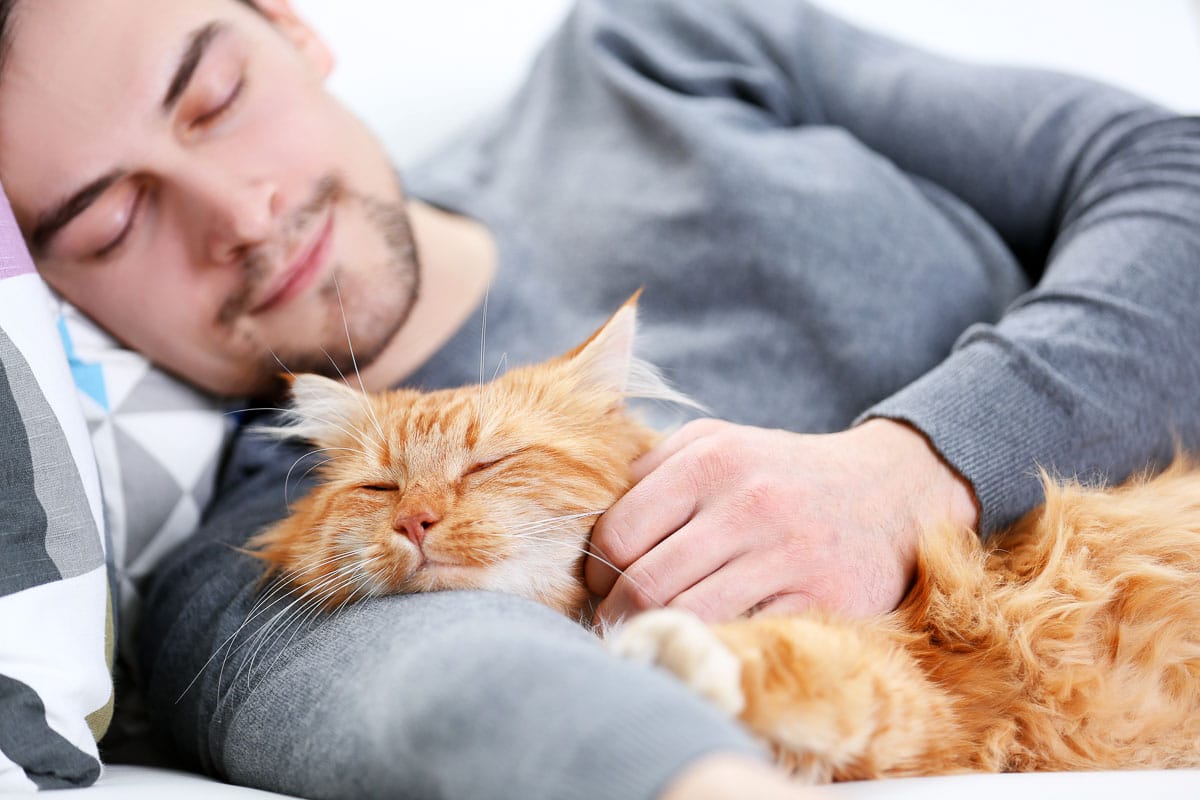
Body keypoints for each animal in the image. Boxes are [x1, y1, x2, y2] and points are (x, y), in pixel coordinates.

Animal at [248, 293, 1200, 782]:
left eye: (490, 463)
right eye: (380, 487)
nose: (415, 519)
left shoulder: (932, 687)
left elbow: (790, 664)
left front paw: (670, 651)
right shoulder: (925, 716)